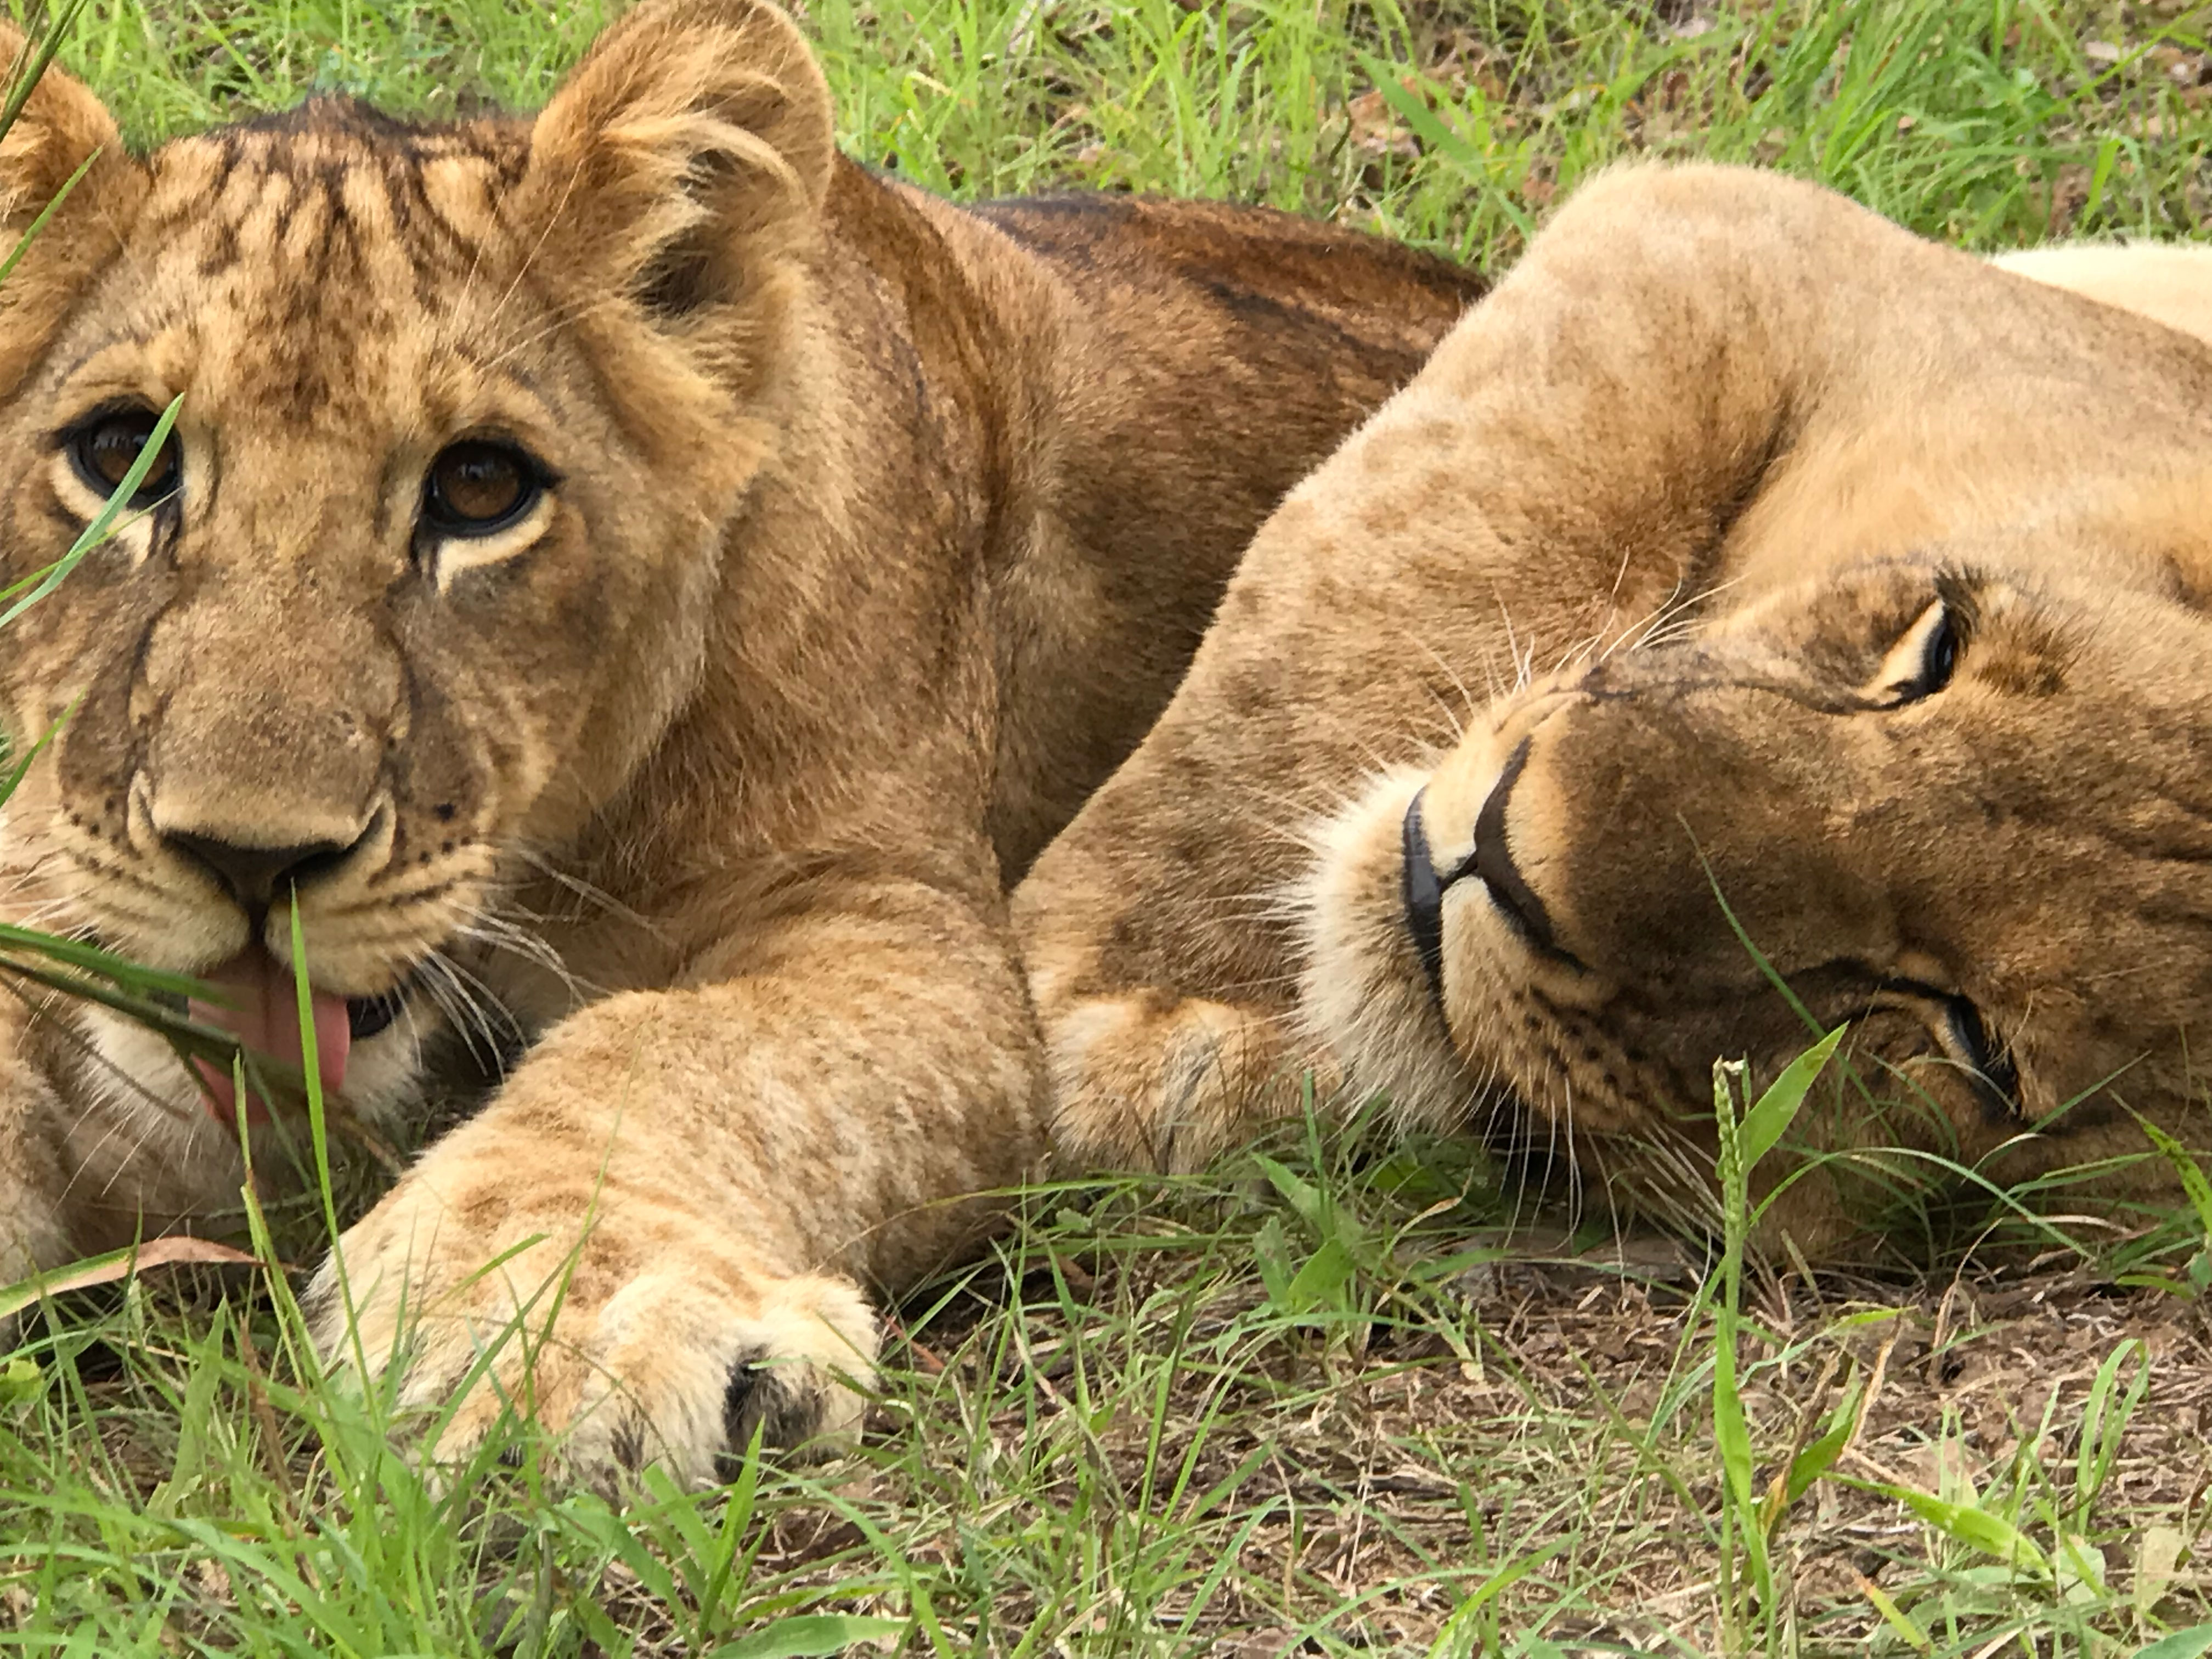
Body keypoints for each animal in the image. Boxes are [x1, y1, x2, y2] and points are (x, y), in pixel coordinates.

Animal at [0, 0, 1486, 1477]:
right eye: (119, 455)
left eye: (479, 488)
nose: (246, 860)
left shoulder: (896, 921)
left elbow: (674, 1057)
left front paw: (552, 1320)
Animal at [1013, 166, 2212, 1256]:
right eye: (1936, 647)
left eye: (1976, 1046)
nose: (1504, 853)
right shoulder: (1735, 238)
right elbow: (1381, 573)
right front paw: (1098, 982)